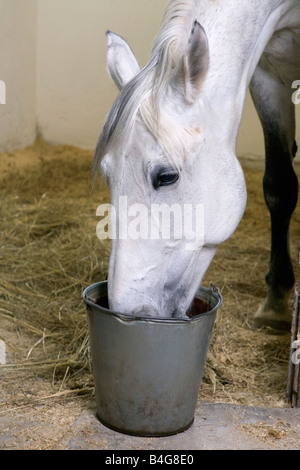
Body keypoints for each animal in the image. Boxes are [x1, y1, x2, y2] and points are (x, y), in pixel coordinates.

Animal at [92, 0, 298, 330]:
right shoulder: (268, 76)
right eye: (108, 176)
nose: (129, 312)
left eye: (166, 176)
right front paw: (276, 301)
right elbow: (279, 187)